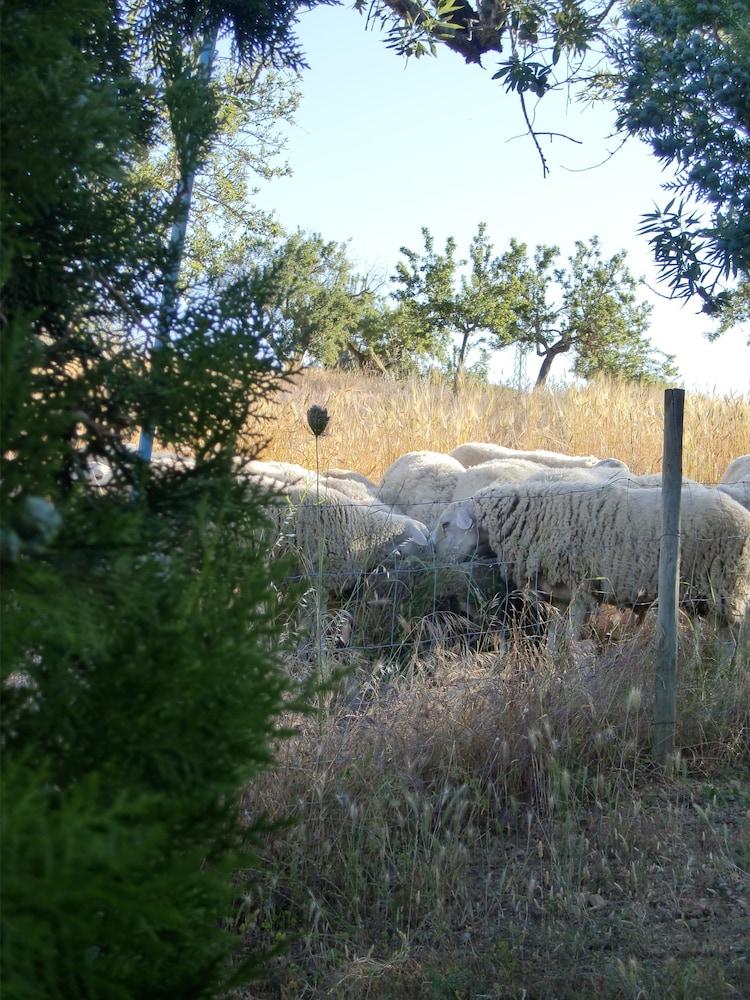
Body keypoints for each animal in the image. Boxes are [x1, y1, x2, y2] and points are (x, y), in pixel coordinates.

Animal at [432, 478, 750, 632]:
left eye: (445, 524)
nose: (434, 561)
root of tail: (742, 514)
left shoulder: (582, 591)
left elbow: (573, 641)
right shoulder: (558, 597)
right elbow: (554, 640)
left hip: (728, 583)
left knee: (735, 636)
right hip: (703, 596)